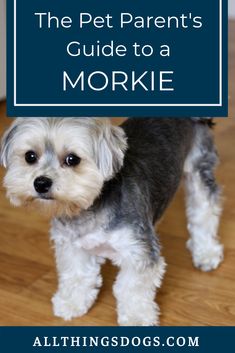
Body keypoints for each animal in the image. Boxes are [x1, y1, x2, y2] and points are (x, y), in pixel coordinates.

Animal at [0, 117, 224, 324]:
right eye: (30, 156)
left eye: (72, 159)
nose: (41, 183)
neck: (89, 207)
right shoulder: (73, 247)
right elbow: (77, 276)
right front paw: (71, 303)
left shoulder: (138, 252)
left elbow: (131, 288)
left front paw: (136, 318)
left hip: (199, 167)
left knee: (204, 211)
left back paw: (206, 253)